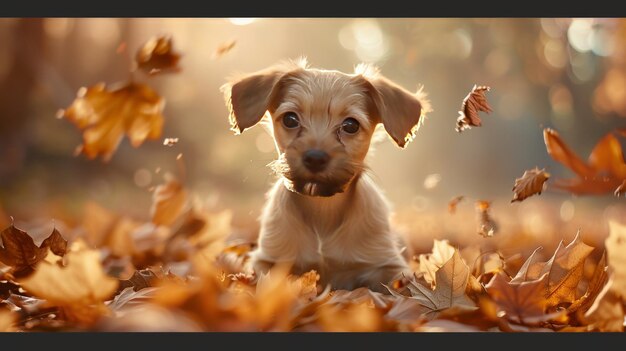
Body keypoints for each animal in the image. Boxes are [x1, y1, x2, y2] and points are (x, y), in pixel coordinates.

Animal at [221, 59, 428, 292]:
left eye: (350, 125)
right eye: (290, 119)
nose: (315, 157)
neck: (322, 208)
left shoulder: (389, 265)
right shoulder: (268, 261)